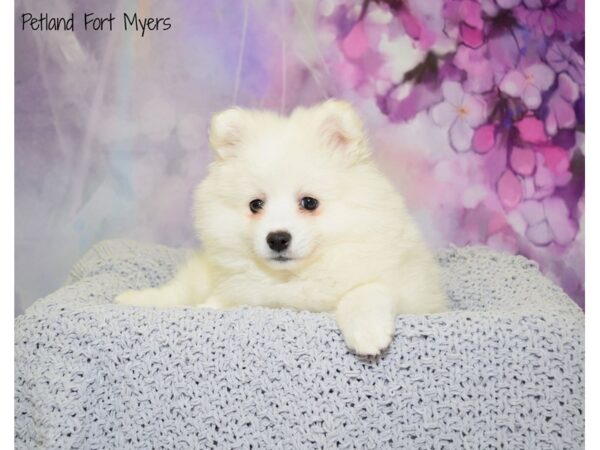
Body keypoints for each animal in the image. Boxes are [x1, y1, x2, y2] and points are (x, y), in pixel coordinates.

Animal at [116, 99, 446, 356]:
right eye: (255, 205)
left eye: (309, 202)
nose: (277, 239)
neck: (292, 280)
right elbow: (218, 303)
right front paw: (205, 309)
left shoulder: (411, 289)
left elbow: (366, 289)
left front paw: (367, 332)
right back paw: (130, 299)